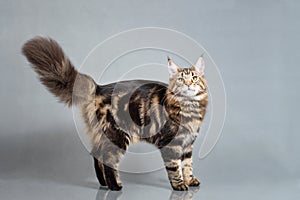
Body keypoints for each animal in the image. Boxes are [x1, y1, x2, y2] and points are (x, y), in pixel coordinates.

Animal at [22, 36, 207, 191]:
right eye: (181, 79)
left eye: (195, 78)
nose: (189, 84)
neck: (190, 109)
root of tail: (98, 88)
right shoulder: (171, 144)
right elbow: (175, 168)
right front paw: (180, 185)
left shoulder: (187, 144)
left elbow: (187, 165)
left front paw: (190, 180)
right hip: (118, 136)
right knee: (108, 160)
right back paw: (114, 186)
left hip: (105, 135)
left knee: (97, 155)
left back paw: (104, 183)